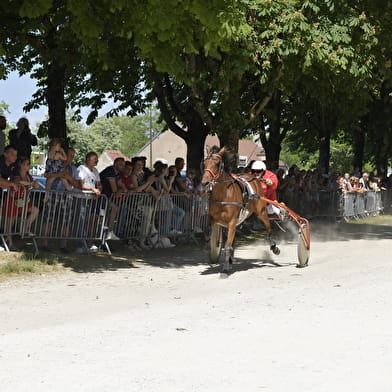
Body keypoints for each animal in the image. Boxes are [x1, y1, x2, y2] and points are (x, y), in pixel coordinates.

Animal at [201, 145, 280, 274]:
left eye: (217, 164)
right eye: (204, 163)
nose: (205, 183)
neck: (223, 195)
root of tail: (254, 177)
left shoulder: (232, 222)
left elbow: (228, 245)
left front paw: (225, 268)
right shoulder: (212, 219)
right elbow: (208, 233)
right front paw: (213, 247)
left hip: (261, 212)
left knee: (268, 228)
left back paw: (274, 247)